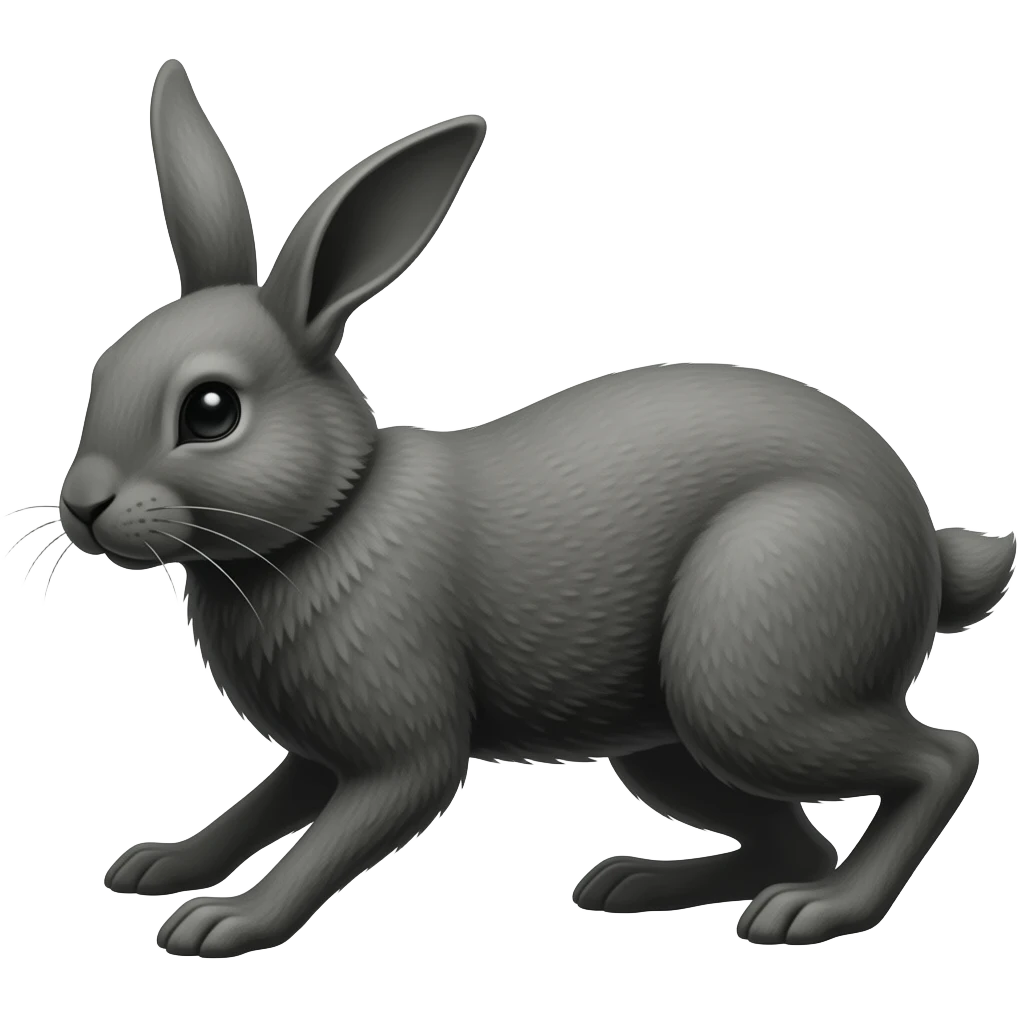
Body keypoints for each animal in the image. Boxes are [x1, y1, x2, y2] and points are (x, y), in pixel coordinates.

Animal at [59, 59, 1012, 957]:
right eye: (102, 368)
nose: (82, 507)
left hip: (753, 669)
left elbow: (331, 841)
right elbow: (258, 808)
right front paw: (161, 866)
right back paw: (640, 884)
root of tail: (923, 543)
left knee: (943, 758)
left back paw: (818, 912)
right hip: (669, 743)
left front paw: (226, 924)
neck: (332, 514)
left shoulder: (403, 750)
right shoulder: (316, 754)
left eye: (211, 411)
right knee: (793, 836)